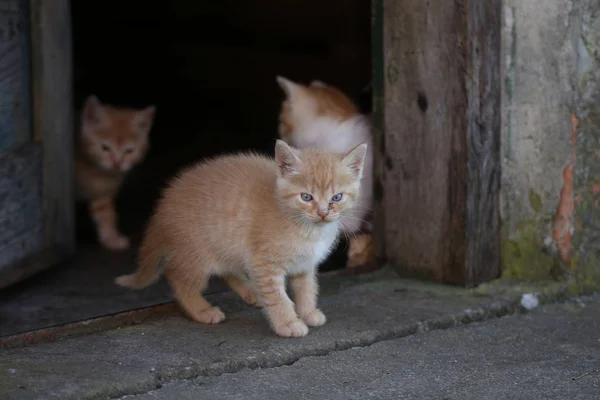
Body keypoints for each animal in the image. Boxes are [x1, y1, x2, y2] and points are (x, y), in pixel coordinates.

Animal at [75, 94, 156, 250]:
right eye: (105, 148)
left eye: (129, 151)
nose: (117, 163)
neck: (96, 173)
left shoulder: (101, 193)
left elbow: (106, 215)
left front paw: (111, 238)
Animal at [112, 141, 366, 338]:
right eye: (306, 197)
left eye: (337, 197)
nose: (323, 213)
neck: (310, 230)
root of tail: (162, 206)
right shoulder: (265, 264)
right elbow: (278, 297)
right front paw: (288, 323)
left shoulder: (303, 265)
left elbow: (306, 289)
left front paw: (308, 313)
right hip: (195, 254)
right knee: (178, 279)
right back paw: (202, 310)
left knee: (227, 270)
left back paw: (251, 291)